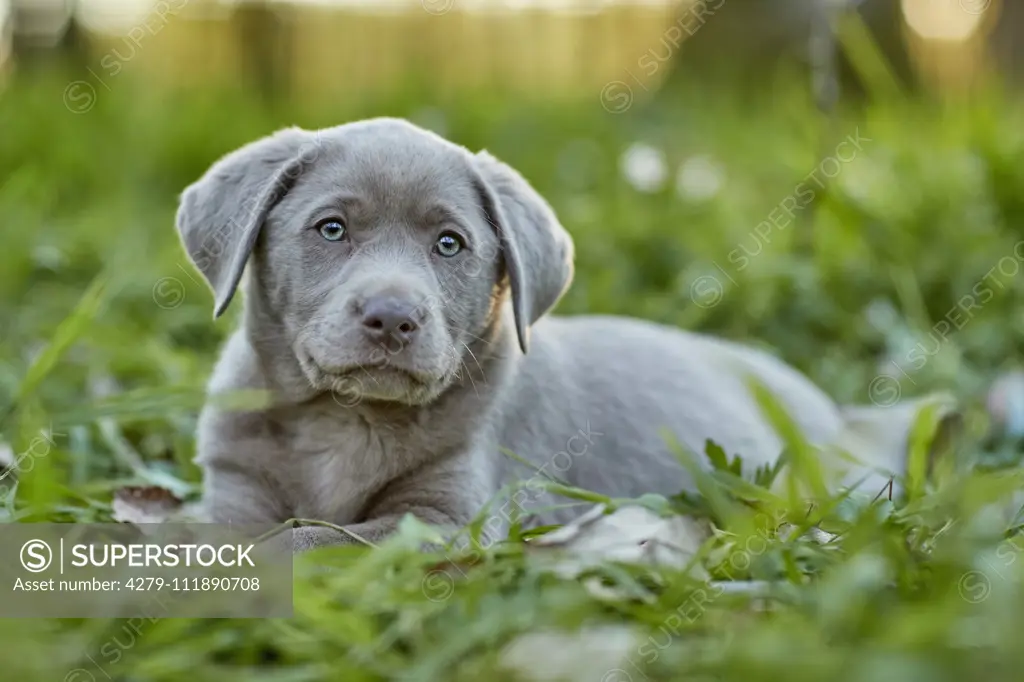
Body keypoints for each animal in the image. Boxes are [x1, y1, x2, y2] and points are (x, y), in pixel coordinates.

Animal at [172, 119, 884, 548]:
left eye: (449, 243)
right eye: (331, 229)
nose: (393, 317)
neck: (344, 418)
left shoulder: (447, 518)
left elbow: (314, 538)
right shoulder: (236, 486)